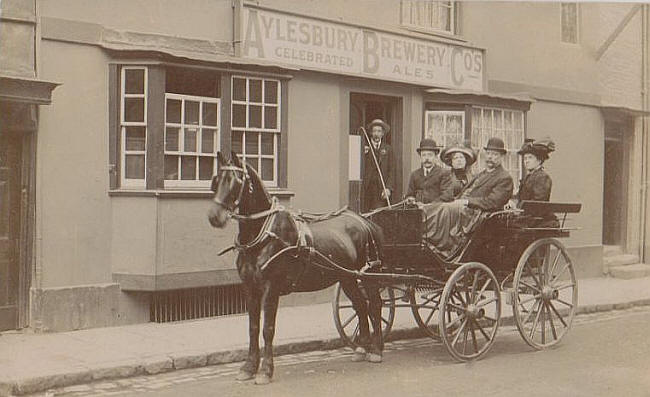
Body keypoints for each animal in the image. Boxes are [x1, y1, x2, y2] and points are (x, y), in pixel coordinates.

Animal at [205, 152, 382, 384]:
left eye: (236, 182)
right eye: (215, 181)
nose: (214, 216)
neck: (263, 234)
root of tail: (364, 220)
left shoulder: (271, 288)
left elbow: (267, 329)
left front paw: (265, 371)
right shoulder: (250, 288)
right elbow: (253, 328)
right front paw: (249, 367)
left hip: (369, 274)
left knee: (375, 305)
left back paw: (376, 350)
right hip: (347, 277)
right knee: (361, 305)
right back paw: (362, 348)